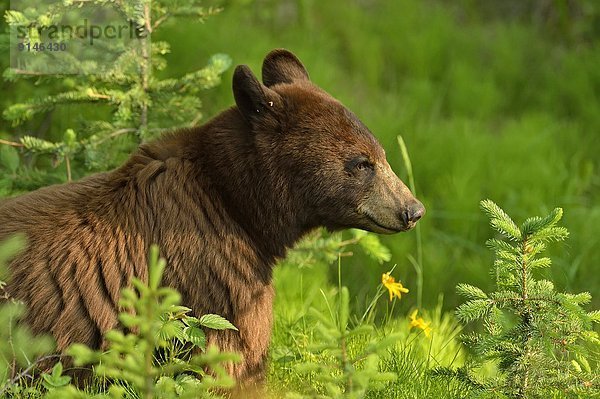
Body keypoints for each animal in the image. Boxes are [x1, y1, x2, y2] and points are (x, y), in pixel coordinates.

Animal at [0, 48, 424, 392]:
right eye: (362, 162)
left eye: (382, 154)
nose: (412, 209)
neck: (233, 201)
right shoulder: (213, 273)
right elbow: (233, 355)